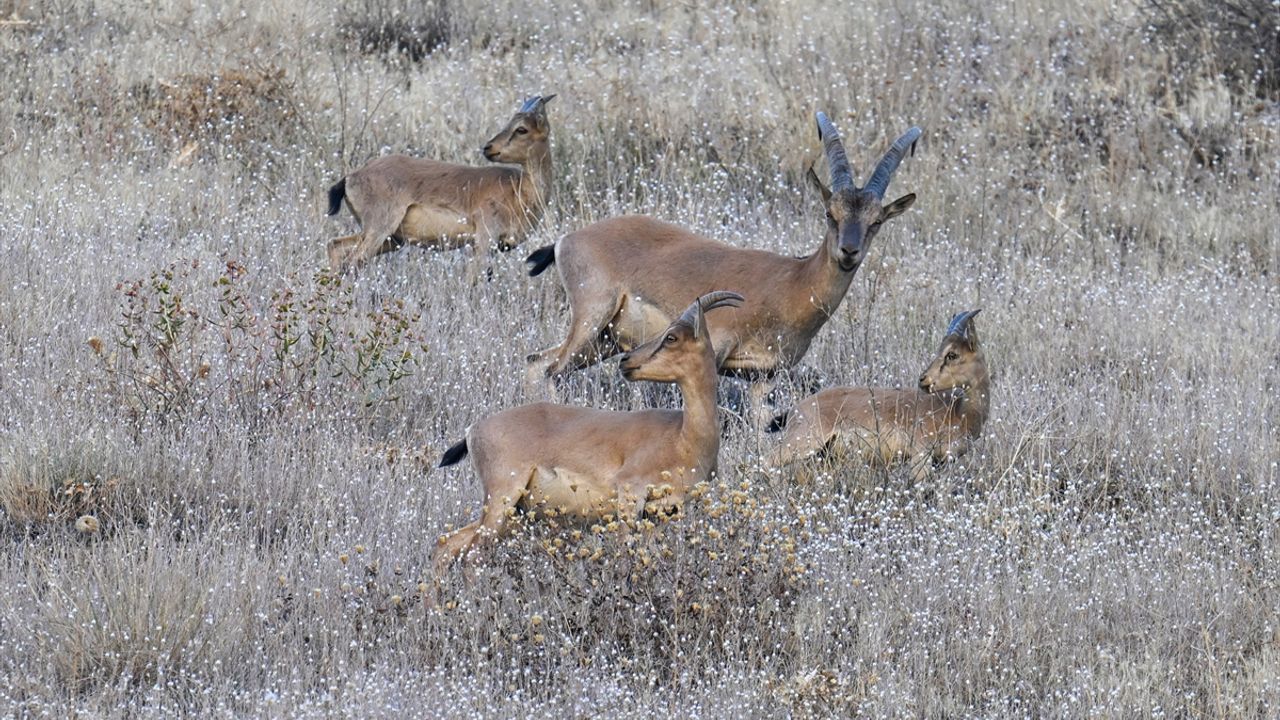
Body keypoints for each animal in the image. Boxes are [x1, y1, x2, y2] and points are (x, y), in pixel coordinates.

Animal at [326, 95, 555, 272]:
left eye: (521, 129)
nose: (488, 148)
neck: (518, 190)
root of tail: (351, 177)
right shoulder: (483, 241)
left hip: (390, 240)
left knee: (335, 247)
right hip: (378, 232)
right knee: (351, 262)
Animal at [433, 291, 744, 571]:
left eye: (672, 337)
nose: (625, 362)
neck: (683, 437)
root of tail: (473, 430)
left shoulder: (664, 512)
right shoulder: (630, 497)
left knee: (445, 544)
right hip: (502, 501)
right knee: (471, 555)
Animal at [524, 114, 920, 389]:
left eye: (876, 221)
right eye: (829, 213)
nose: (848, 252)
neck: (792, 283)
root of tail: (567, 240)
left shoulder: (763, 379)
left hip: (603, 342)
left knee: (536, 362)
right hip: (590, 323)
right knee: (548, 368)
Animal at [766, 310, 989, 481]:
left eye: (952, 354)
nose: (923, 380)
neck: (958, 411)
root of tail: (795, 410)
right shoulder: (920, 457)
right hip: (801, 445)